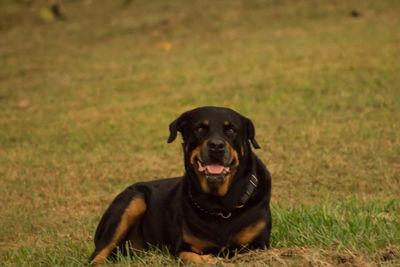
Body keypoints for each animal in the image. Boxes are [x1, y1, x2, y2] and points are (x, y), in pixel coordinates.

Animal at [89, 107, 272, 266]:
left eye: (231, 130)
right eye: (200, 129)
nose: (216, 145)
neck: (220, 205)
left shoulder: (259, 243)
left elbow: (248, 253)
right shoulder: (183, 246)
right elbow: (190, 256)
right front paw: (212, 260)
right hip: (133, 200)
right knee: (96, 257)